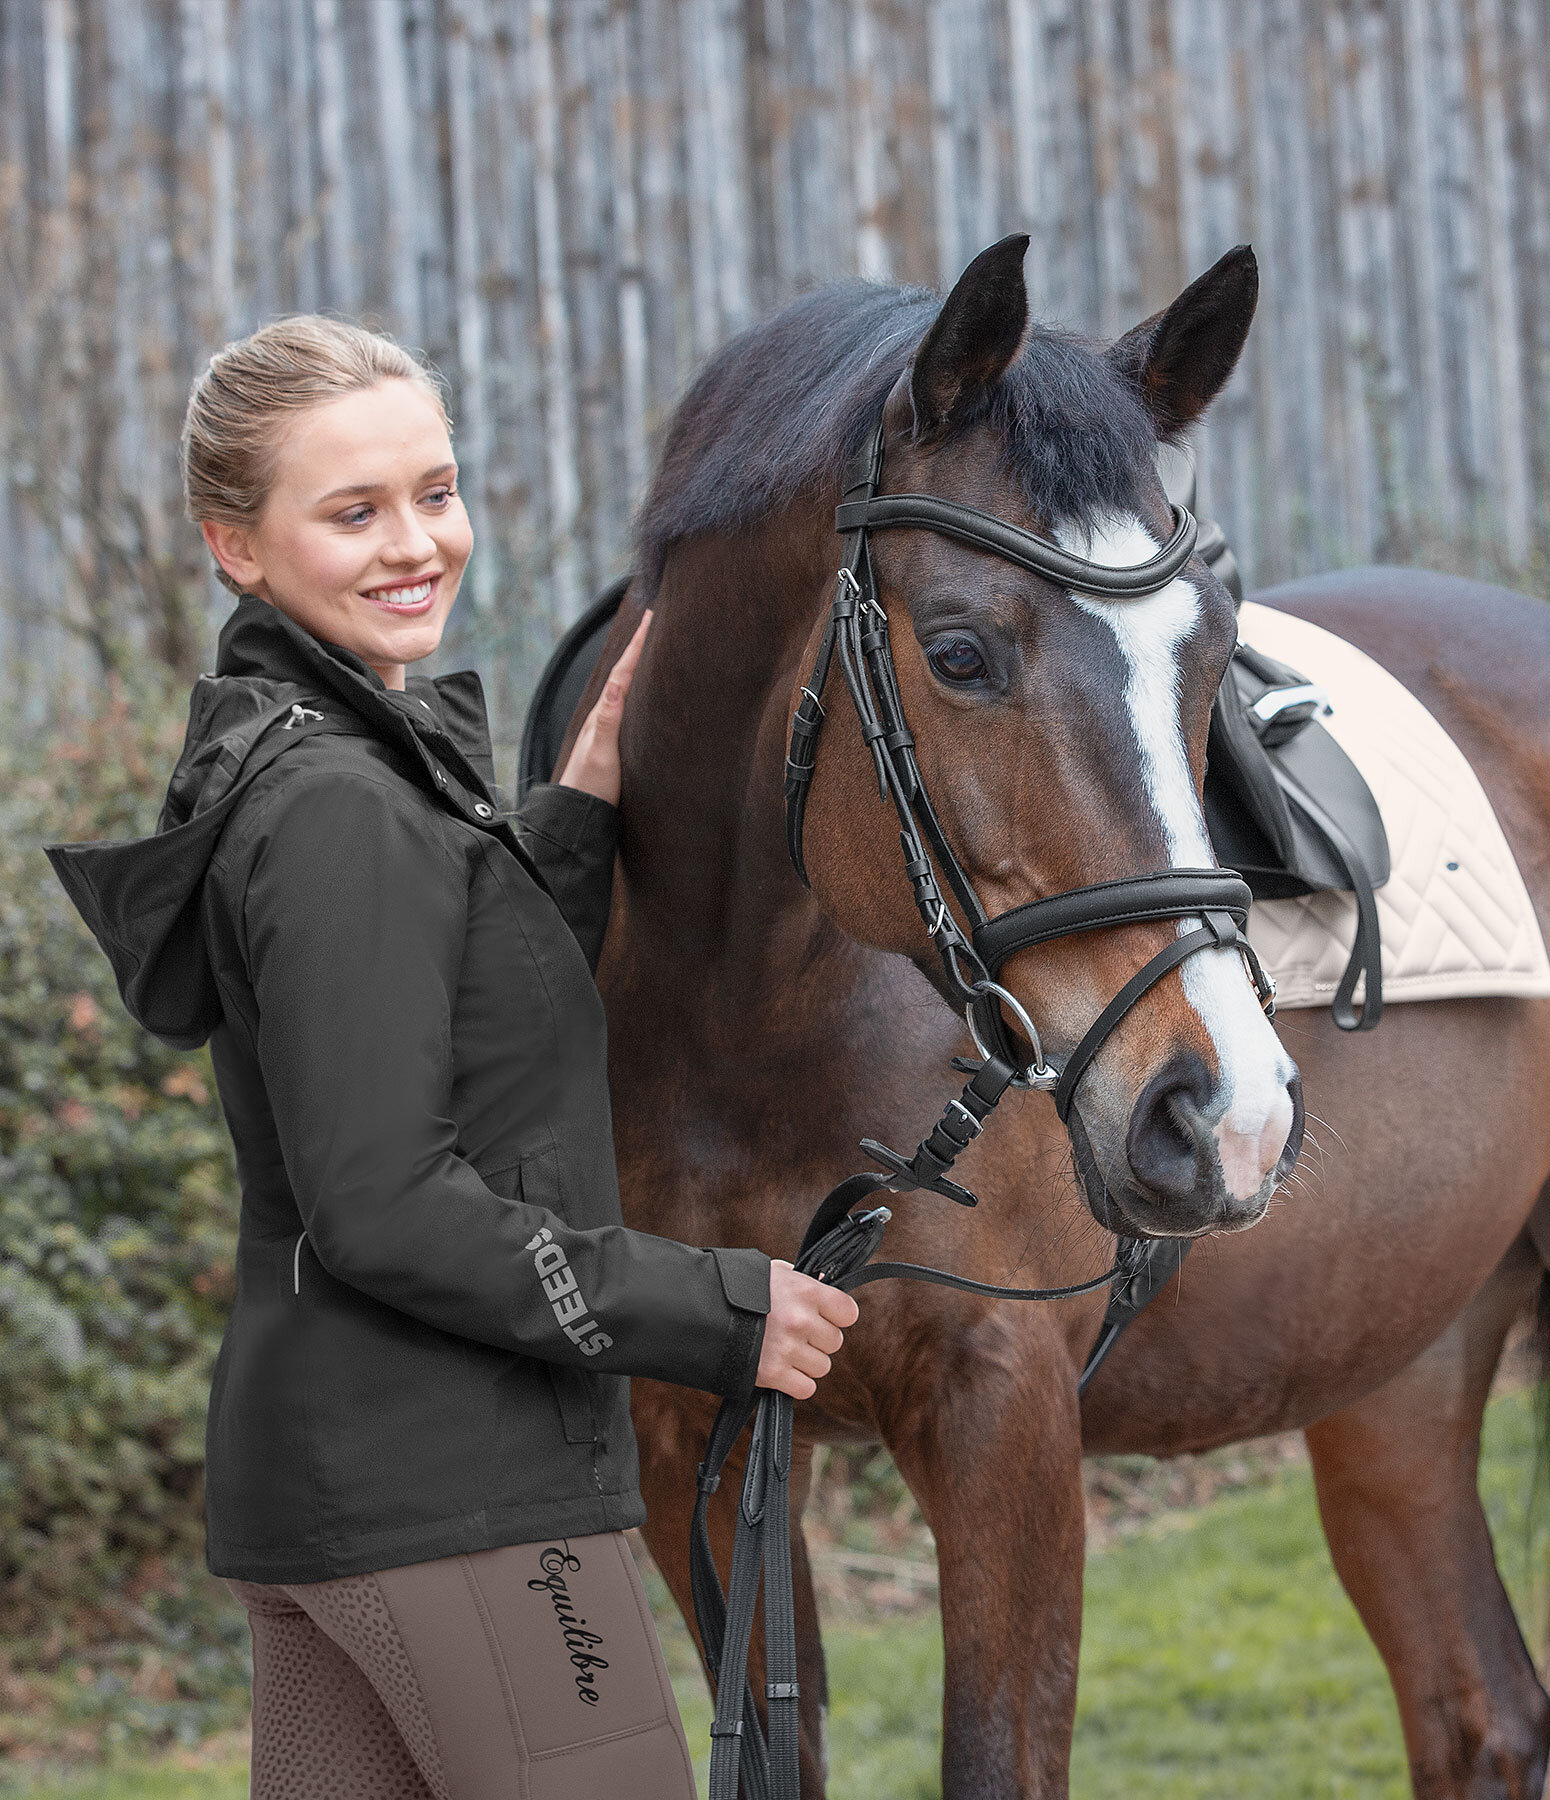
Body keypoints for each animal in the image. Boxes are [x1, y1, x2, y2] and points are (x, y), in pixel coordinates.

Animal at [550, 232, 1548, 1792]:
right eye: (958, 654)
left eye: (1209, 649)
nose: (1226, 1117)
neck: (738, 1023)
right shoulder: (696, 1435)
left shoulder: (1004, 1416)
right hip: (1403, 1356)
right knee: (1479, 1714)